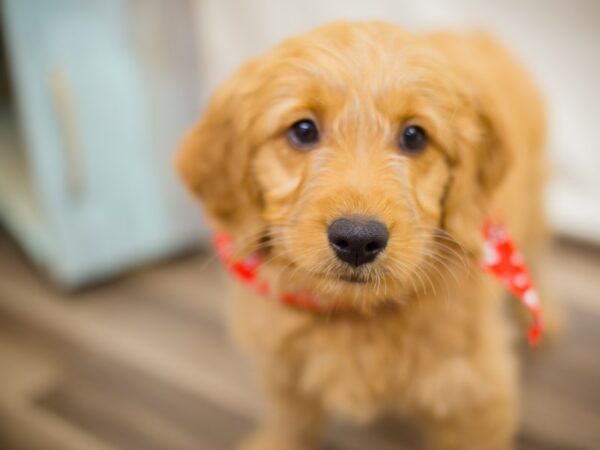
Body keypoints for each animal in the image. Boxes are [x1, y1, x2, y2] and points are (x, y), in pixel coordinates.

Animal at [176, 20, 556, 450]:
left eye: (414, 136)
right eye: (303, 130)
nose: (357, 239)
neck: (355, 313)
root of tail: (475, 32)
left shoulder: (474, 397)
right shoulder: (282, 365)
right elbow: (291, 417)